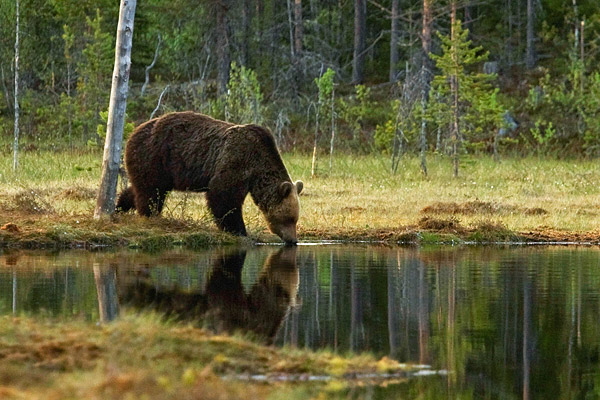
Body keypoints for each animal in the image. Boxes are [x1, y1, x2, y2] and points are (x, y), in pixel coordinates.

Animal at [116, 112, 304, 244]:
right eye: (289, 218)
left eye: (295, 218)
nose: (293, 240)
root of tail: (133, 131)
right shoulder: (236, 160)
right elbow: (224, 196)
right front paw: (239, 230)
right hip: (154, 156)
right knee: (150, 192)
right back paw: (149, 215)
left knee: (141, 189)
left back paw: (120, 206)